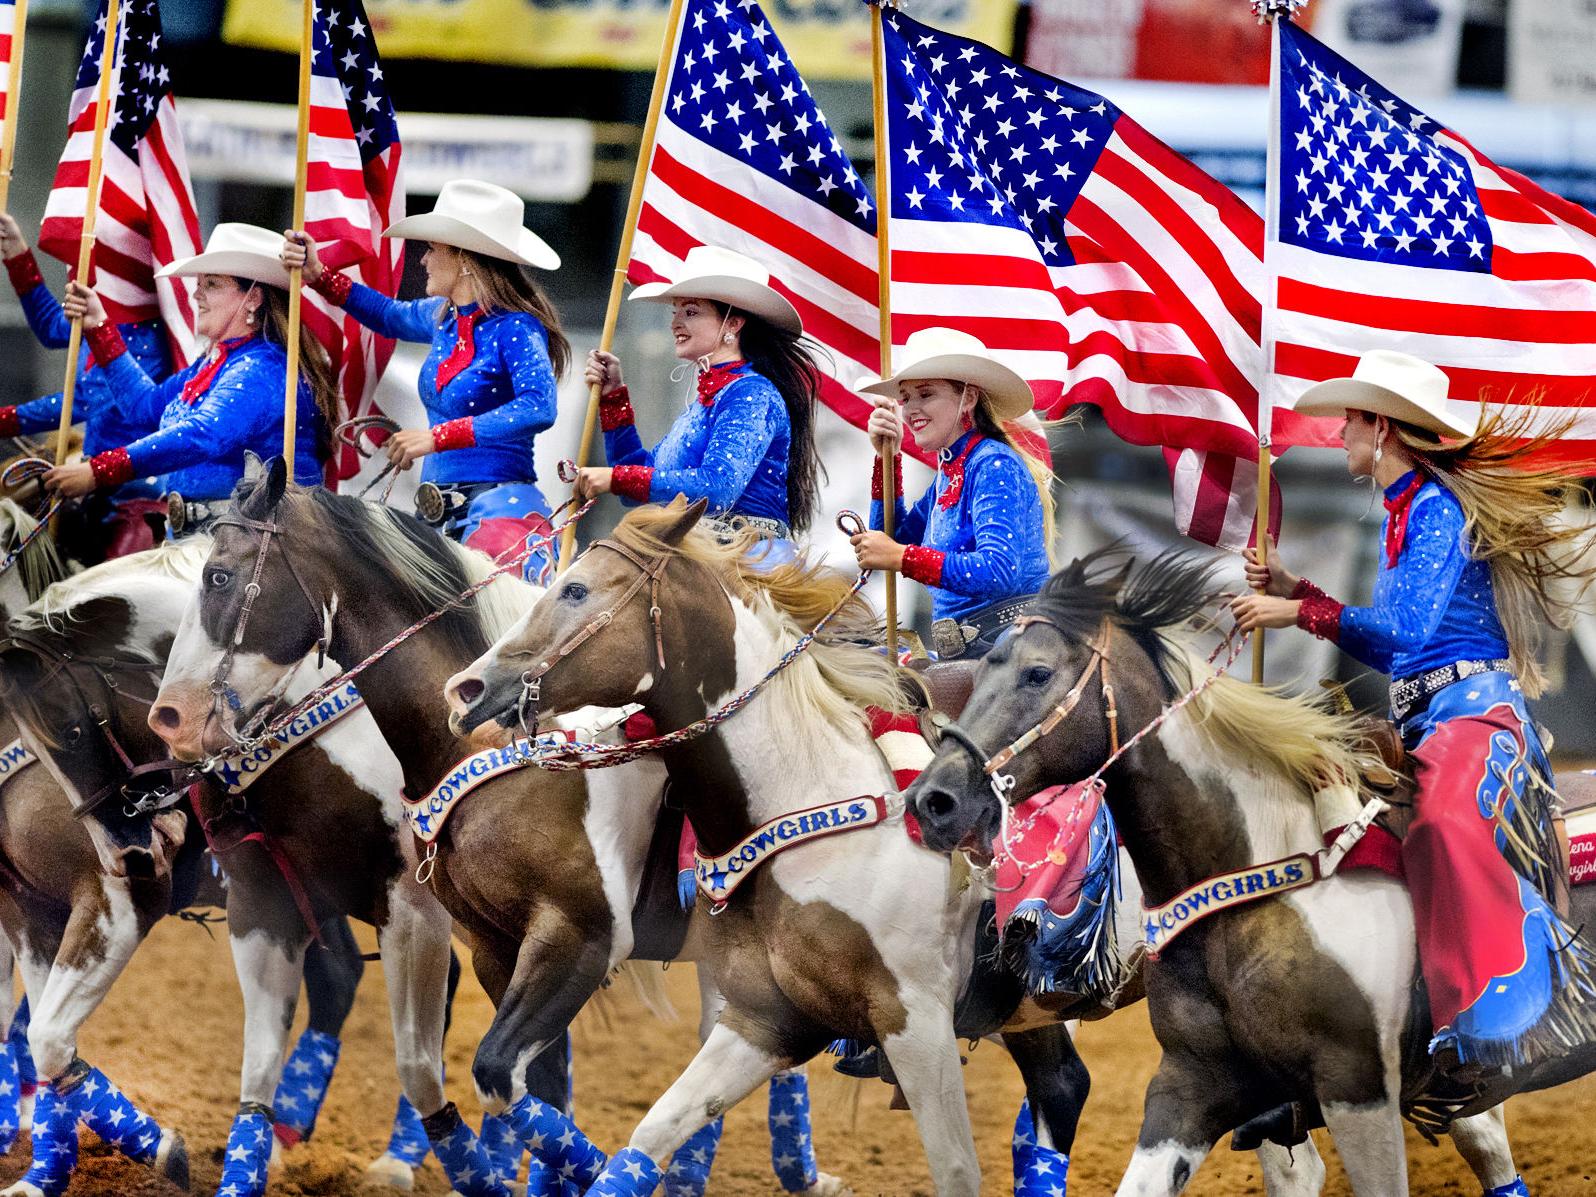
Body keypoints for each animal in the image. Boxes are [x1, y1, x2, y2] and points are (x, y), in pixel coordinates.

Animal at [0, 536, 472, 1197]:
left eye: (70, 727)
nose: (131, 855)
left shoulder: (115, 902)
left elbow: (44, 1033)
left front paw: (162, 1150)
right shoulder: (27, 909)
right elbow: (42, 1037)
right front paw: (45, 1173)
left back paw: (399, 1158)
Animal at [143, 459, 855, 1197]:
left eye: (218, 576)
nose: (171, 718)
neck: (495, 752)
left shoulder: (573, 938)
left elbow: (483, 1070)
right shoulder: (493, 946)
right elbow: (526, 1084)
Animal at [912, 552, 1583, 1197]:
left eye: (1038, 673)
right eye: (981, 674)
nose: (933, 800)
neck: (1264, 877)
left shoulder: (1358, 1086)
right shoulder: (1192, 1086)